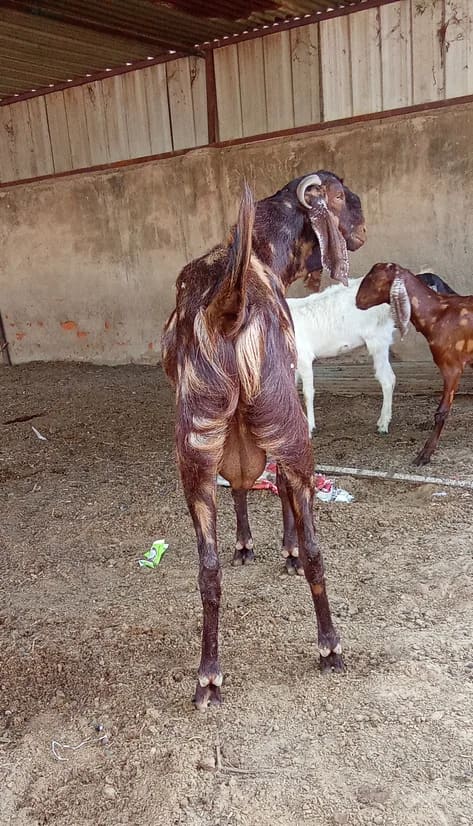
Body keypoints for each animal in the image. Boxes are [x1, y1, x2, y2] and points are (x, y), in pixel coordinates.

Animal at [161, 172, 366, 708]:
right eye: (343, 195)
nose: (361, 230)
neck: (259, 247)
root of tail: (227, 305)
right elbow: (282, 497)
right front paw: (283, 550)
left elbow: (242, 486)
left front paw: (245, 546)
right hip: (289, 426)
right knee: (316, 546)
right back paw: (330, 648)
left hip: (193, 445)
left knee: (207, 568)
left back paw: (208, 677)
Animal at [287, 278, 396, 436]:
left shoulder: (304, 356)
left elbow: (307, 392)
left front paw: (309, 428)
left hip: (378, 340)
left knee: (386, 379)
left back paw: (383, 425)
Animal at [356, 262, 473, 465]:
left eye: (375, 278)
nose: (357, 301)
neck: (438, 314)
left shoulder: (452, 367)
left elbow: (441, 412)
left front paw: (424, 454)